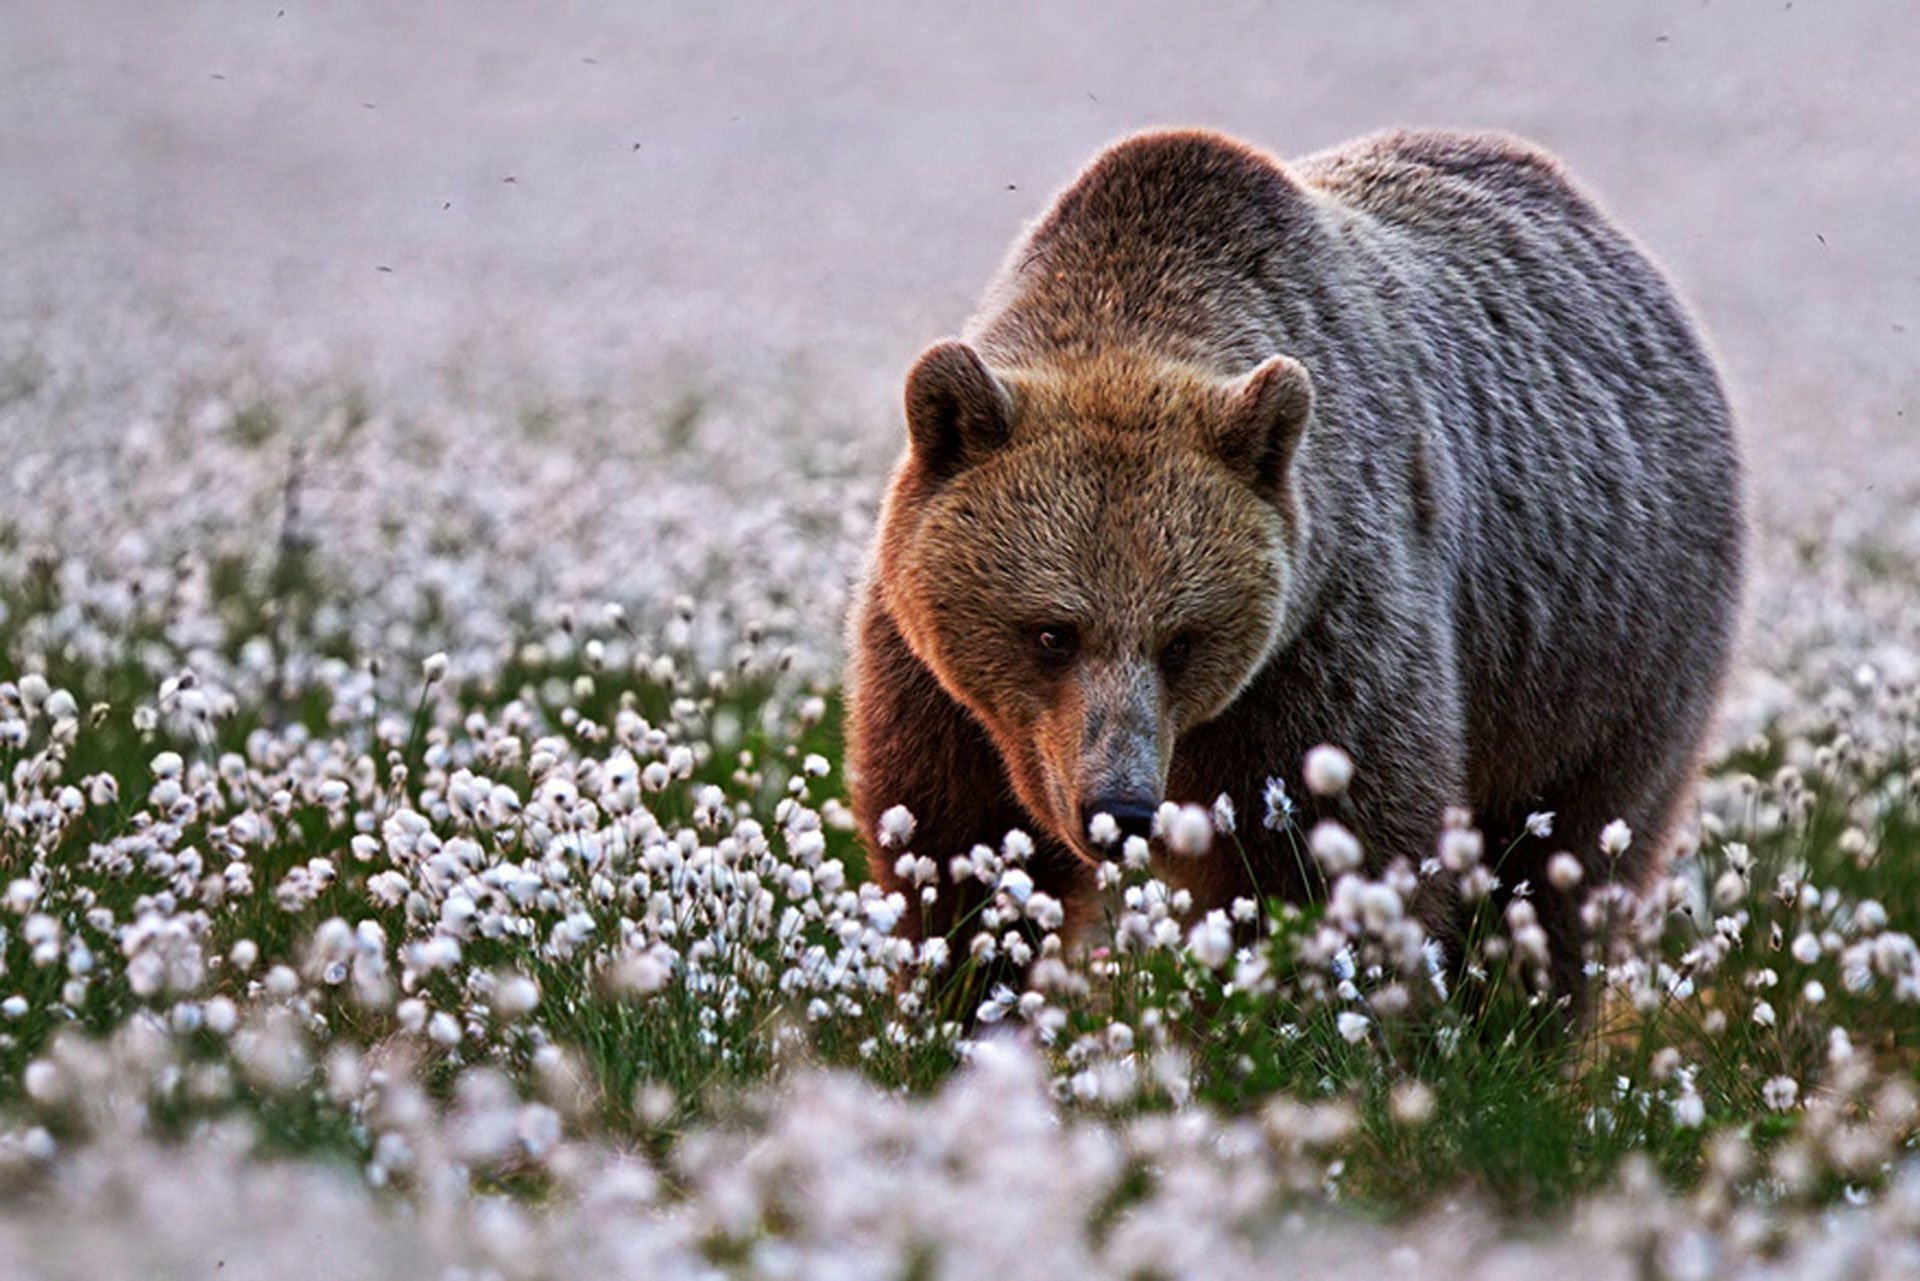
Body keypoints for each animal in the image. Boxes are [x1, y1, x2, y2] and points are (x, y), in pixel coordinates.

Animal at [848, 124, 1751, 1006]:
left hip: (1607, 656)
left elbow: (1330, 855)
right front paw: (957, 999)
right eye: (1050, 631)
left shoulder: (1321, 643)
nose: (1122, 808)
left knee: (1564, 864)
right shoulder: (942, 685)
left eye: (1183, 638)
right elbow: (952, 844)